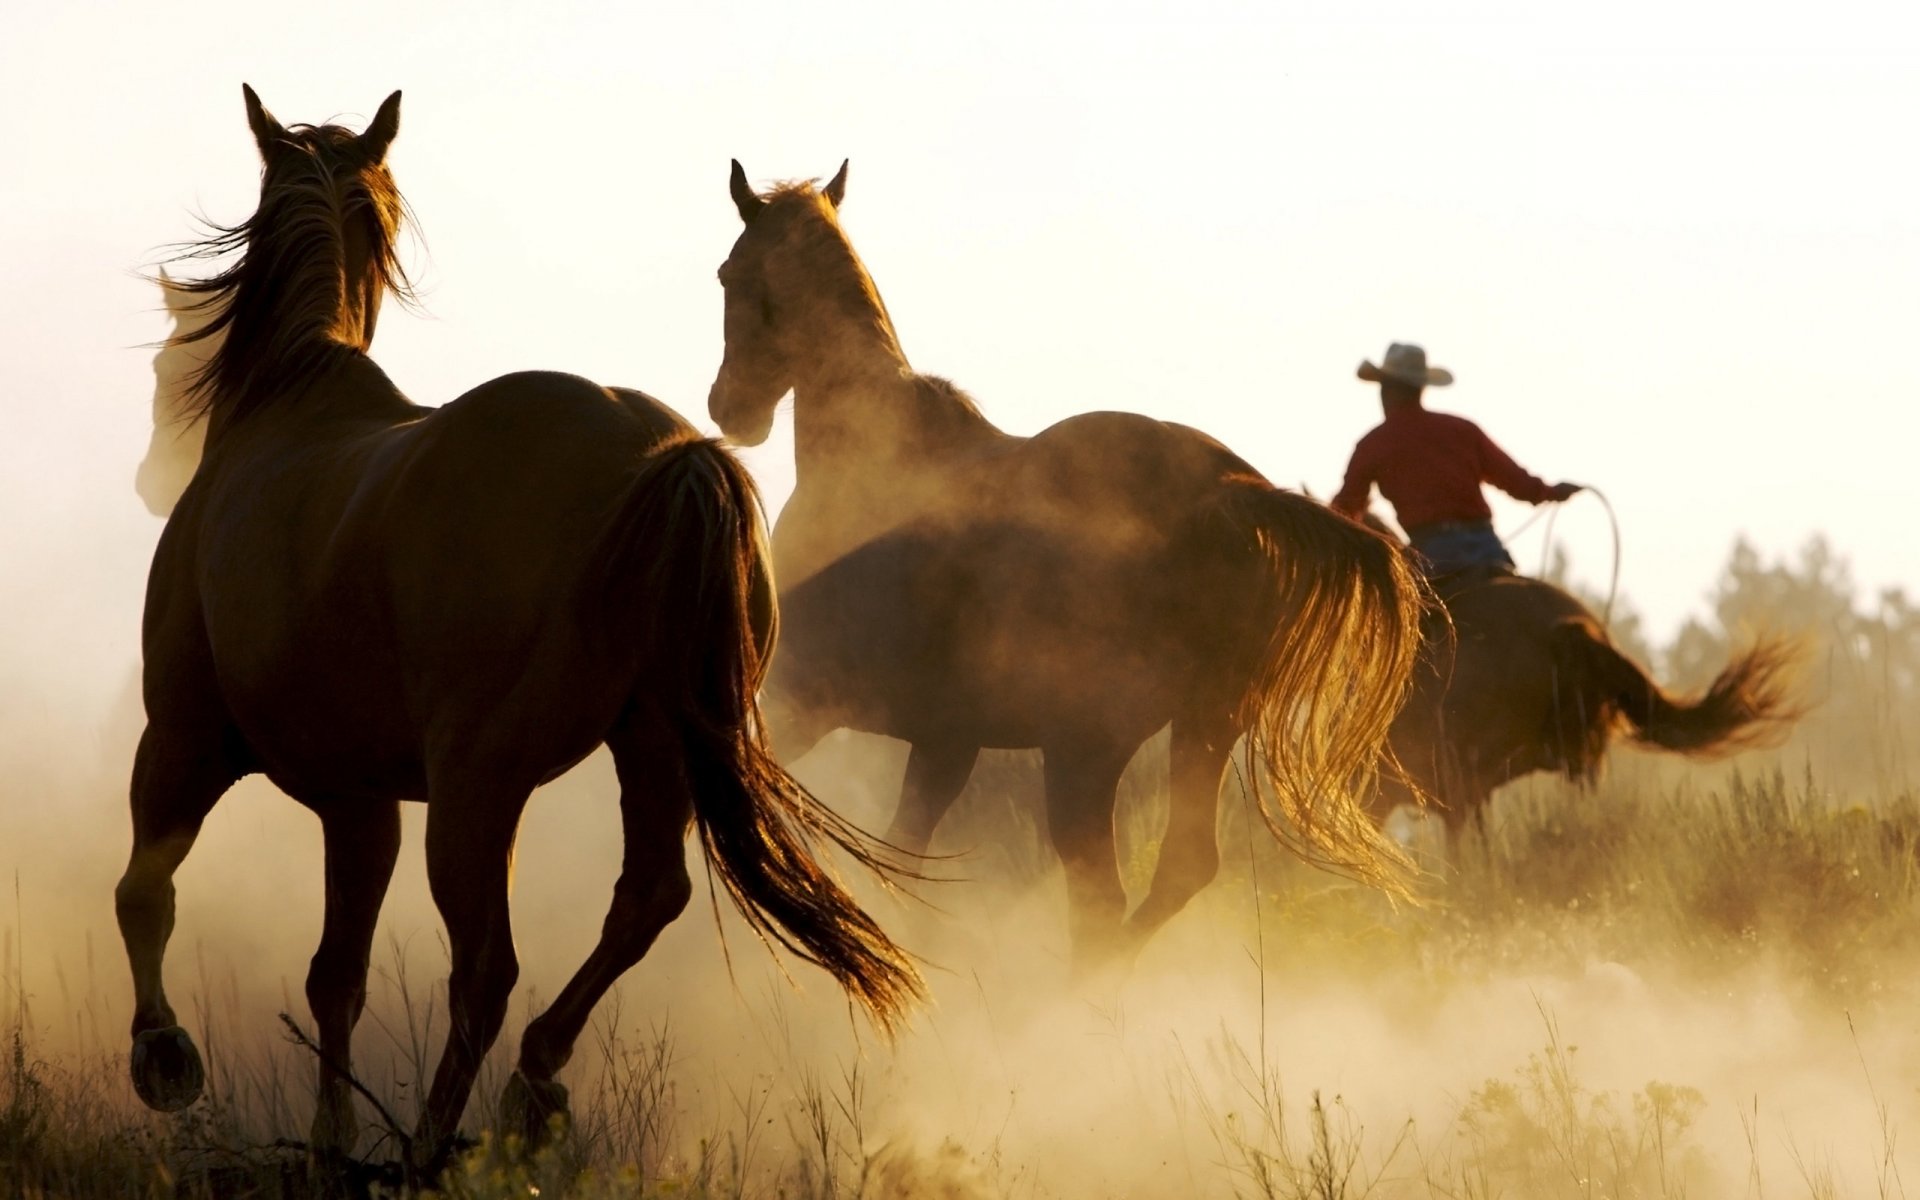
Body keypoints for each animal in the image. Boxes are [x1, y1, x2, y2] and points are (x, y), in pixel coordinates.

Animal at [117, 88, 921, 1173]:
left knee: (487, 969)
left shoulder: (184, 741)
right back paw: (531, 1089)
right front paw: (330, 1142)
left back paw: (429, 1147)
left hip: (477, 787)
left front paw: (165, 1057)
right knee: (641, 903)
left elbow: (145, 893)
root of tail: (665, 458)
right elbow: (335, 976)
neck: (285, 406)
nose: (150, 475)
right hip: (649, 748)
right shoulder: (358, 802)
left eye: (174, 363)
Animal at [706, 161, 1431, 970]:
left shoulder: (802, 700)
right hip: (1200, 726)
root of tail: (1227, 492)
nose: (730, 409)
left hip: (1086, 751)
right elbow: (904, 856)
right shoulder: (946, 740)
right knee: (1173, 873)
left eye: (728, 273)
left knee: (1102, 899)